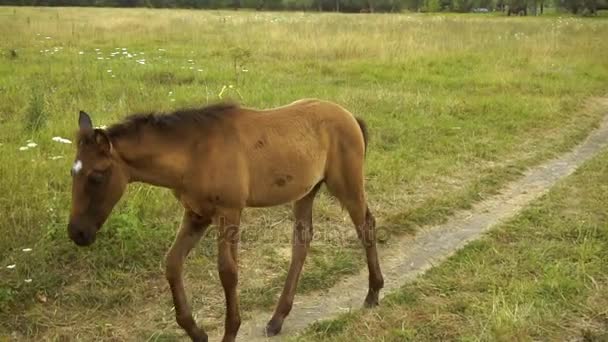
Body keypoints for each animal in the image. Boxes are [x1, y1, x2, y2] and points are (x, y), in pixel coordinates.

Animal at [67, 97, 384, 340]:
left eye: (96, 176)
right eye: (73, 172)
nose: (77, 233)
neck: (194, 154)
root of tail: (350, 116)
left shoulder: (229, 213)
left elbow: (227, 271)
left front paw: (230, 330)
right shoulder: (196, 215)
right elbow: (172, 263)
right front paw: (196, 331)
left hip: (347, 185)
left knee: (365, 226)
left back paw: (373, 293)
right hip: (306, 191)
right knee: (302, 242)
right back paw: (277, 318)